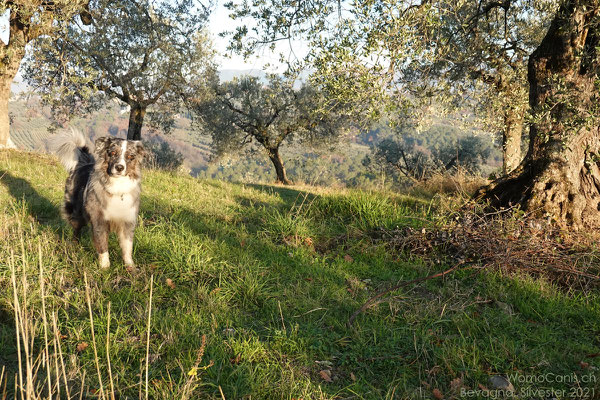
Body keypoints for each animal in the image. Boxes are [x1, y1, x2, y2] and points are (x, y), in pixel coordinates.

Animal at [51, 130, 145, 270]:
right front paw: (105, 267)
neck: (117, 188)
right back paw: (74, 246)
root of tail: (82, 164)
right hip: (76, 213)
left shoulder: (128, 220)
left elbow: (127, 247)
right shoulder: (99, 220)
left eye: (130, 156)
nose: (119, 167)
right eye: (112, 153)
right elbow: (102, 245)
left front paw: (130, 267)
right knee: (76, 230)